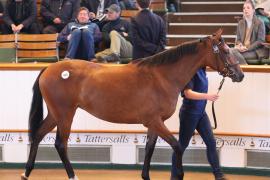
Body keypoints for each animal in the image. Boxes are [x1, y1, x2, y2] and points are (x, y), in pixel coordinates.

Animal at [22, 28, 244, 179]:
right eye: (225, 51)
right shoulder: (154, 121)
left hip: (55, 114)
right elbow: (177, 146)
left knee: (38, 135)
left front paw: (145, 175)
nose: (240, 75)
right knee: (60, 144)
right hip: (65, 114)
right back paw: (72, 175)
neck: (161, 77)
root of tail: (49, 68)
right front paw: (179, 175)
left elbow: (149, 149)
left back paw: (27, 172)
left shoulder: (155, 123)